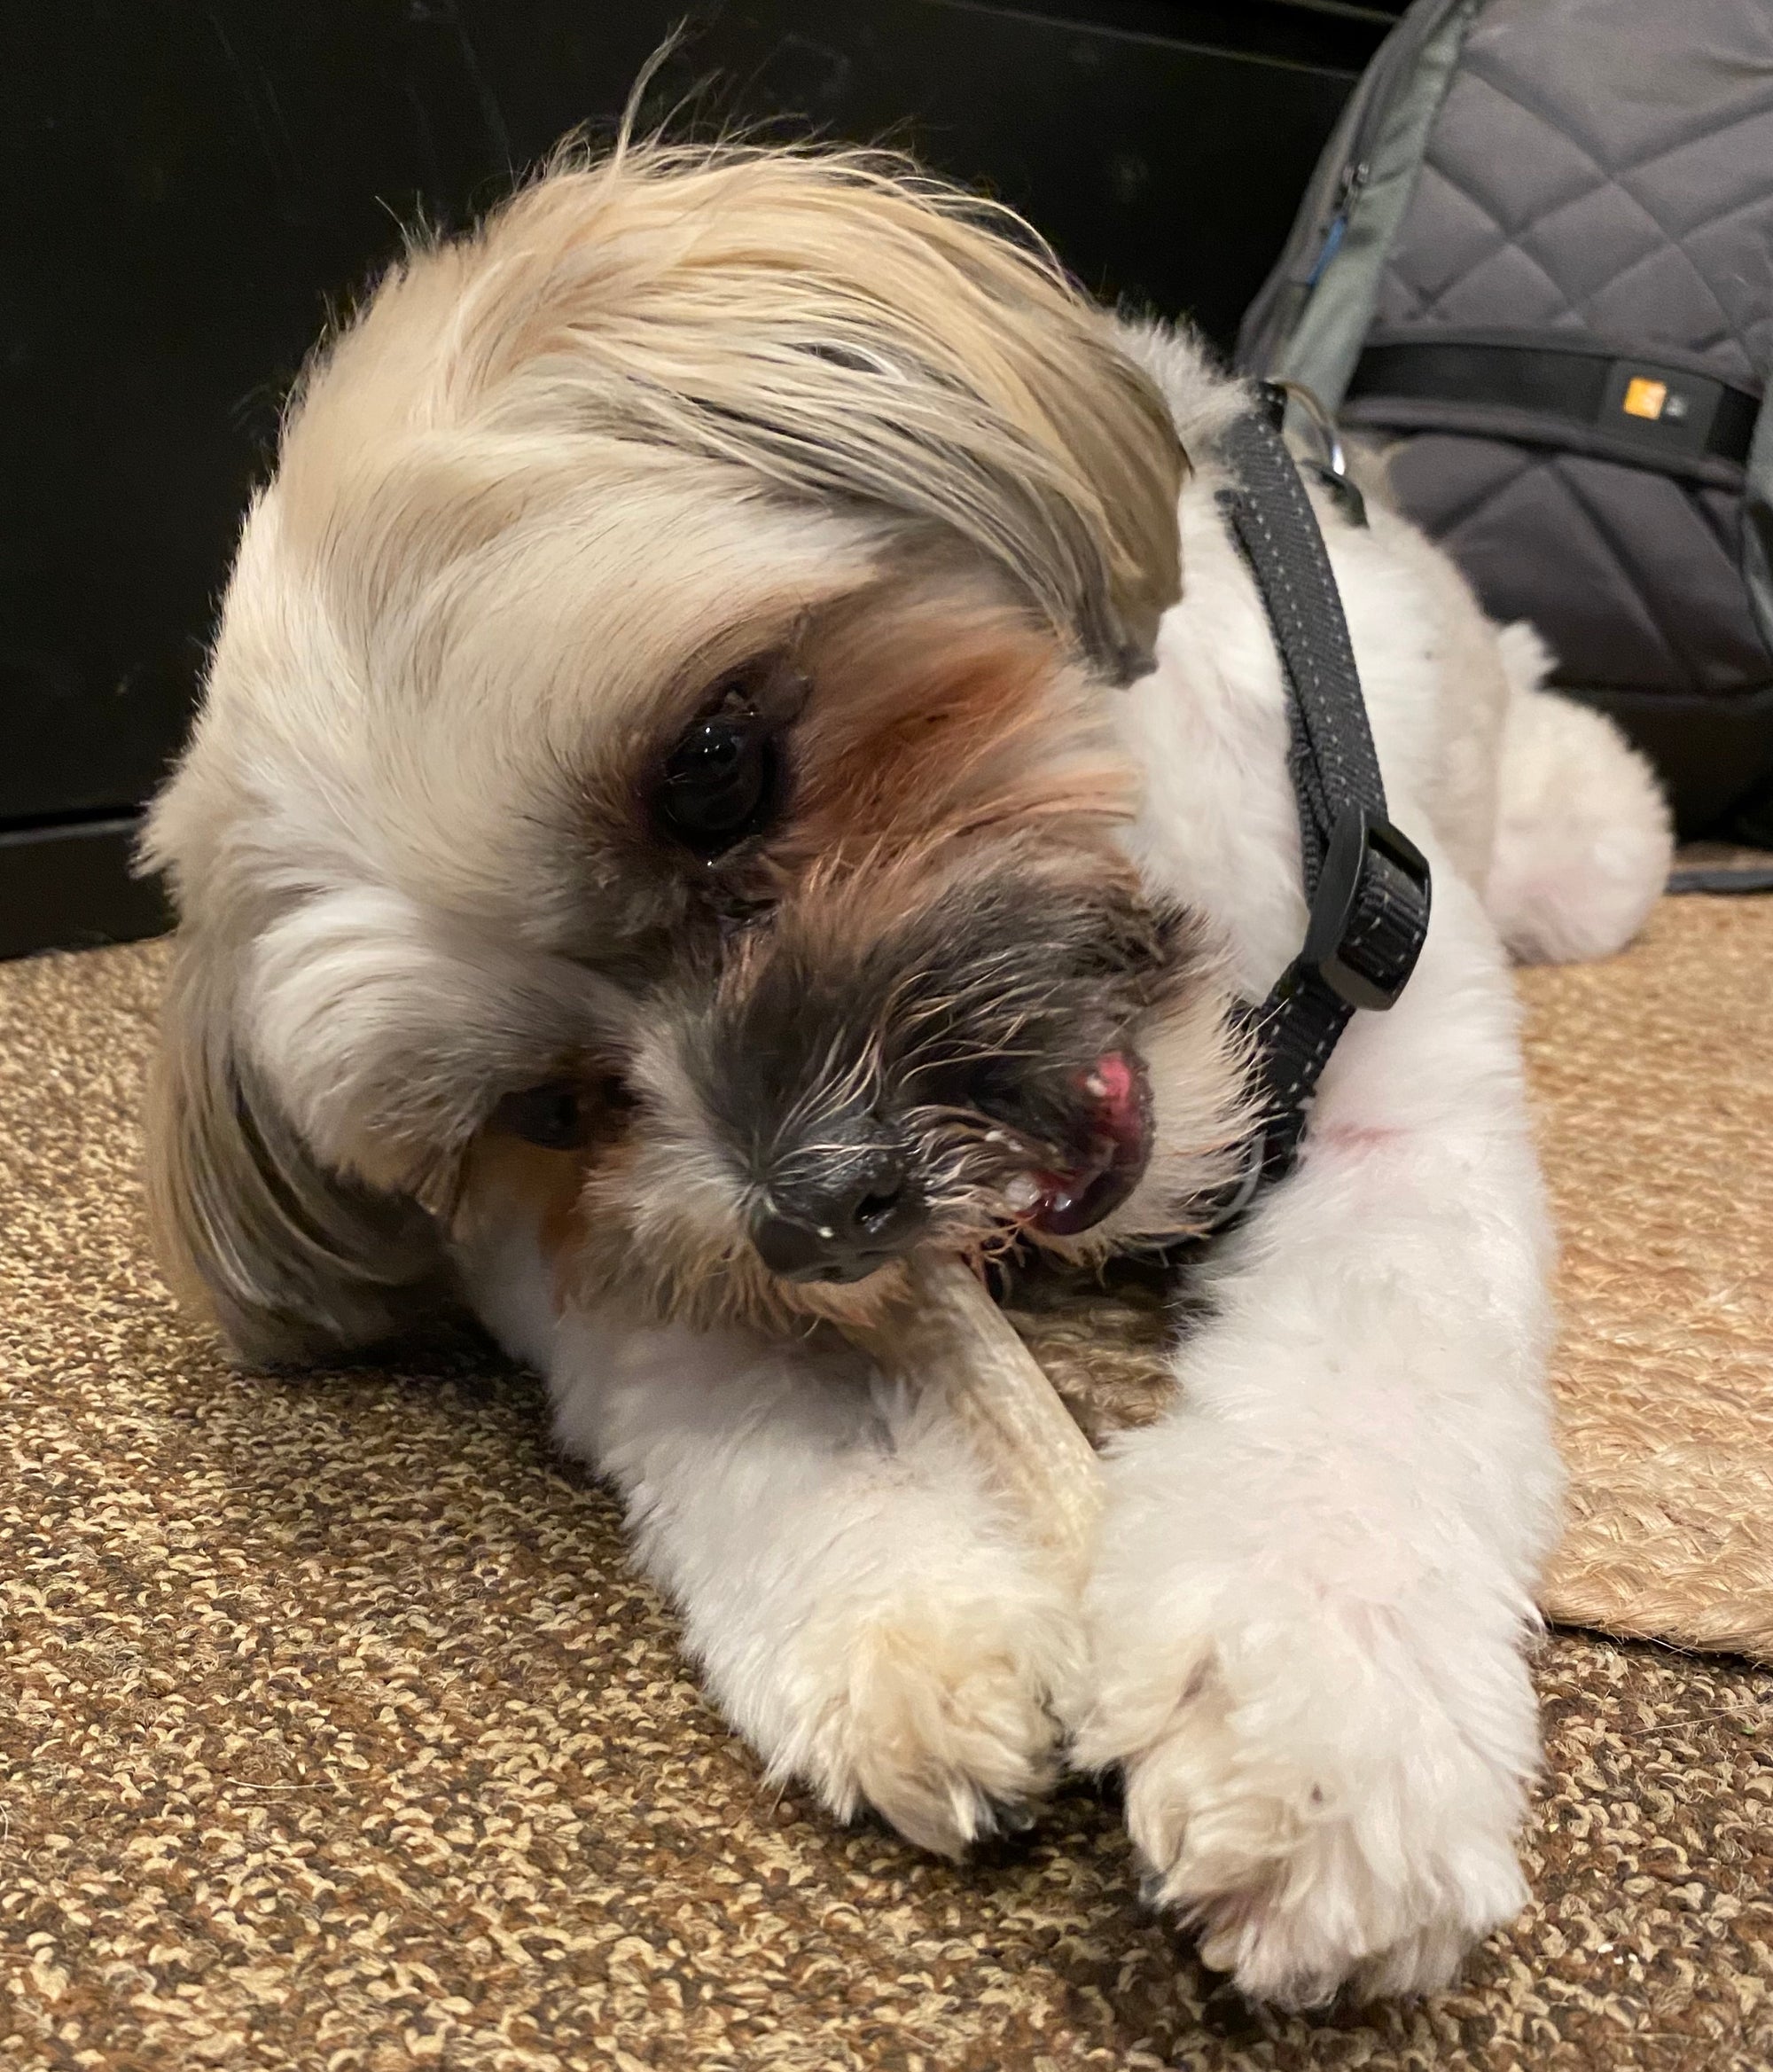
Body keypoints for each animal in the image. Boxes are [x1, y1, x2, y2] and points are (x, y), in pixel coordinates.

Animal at [144, 145, 1665, 2006]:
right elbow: (723, 1372)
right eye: (550, 1105)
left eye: (714, 765)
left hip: (1582, 851)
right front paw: (906, 1617)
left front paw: (1319, 1735)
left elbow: (1362, 1409)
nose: (822, 1203)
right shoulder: (594, 1243)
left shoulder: (1405, 1125)